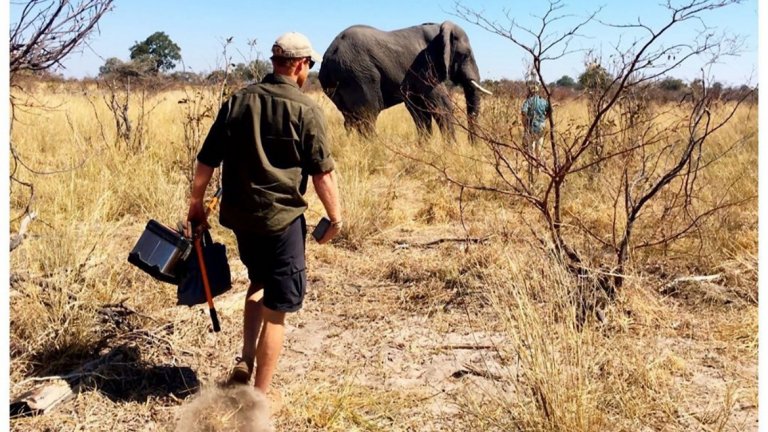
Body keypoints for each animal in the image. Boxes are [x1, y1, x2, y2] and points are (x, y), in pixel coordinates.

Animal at [318, 21, 492, 140]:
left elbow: (418, 109)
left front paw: (425, 147)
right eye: (465, 55)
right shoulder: (424, 65)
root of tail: (328, 57)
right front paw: (451, 149)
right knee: (368, 115)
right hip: (358, 74)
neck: (439, 30)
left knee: (350, 119)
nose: (472, 145)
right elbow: (441, 104)